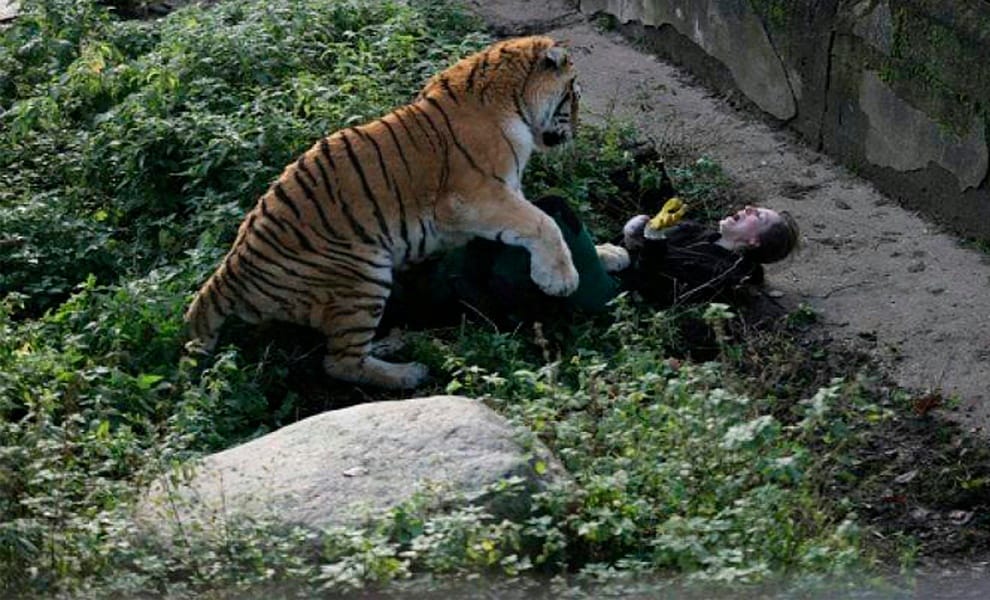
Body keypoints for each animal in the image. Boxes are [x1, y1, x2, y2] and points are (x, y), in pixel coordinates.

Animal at [183, 36, 583, 389]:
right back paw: (409, 373)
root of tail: (228, 273)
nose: (577, 132)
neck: (514, 100)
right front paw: (561, 279)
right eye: (574, 96)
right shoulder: (471, 197)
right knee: (340, 362)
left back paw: (394, 342)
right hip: (362, 275)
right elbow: (542, 223)